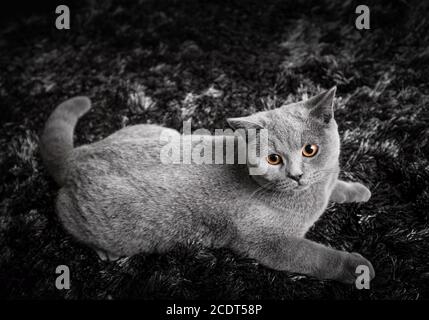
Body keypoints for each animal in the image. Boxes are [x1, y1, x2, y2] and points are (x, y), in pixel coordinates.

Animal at [41, 87, 374, 282]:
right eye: (274, 158)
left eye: (310, 150)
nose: (296, 175)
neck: (310, 197)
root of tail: (79, 155)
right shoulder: (270, 243)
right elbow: (318, 258)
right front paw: (357, 268)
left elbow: (334, 182)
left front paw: (357, 190)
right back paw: (107, 253)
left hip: (163, 131)